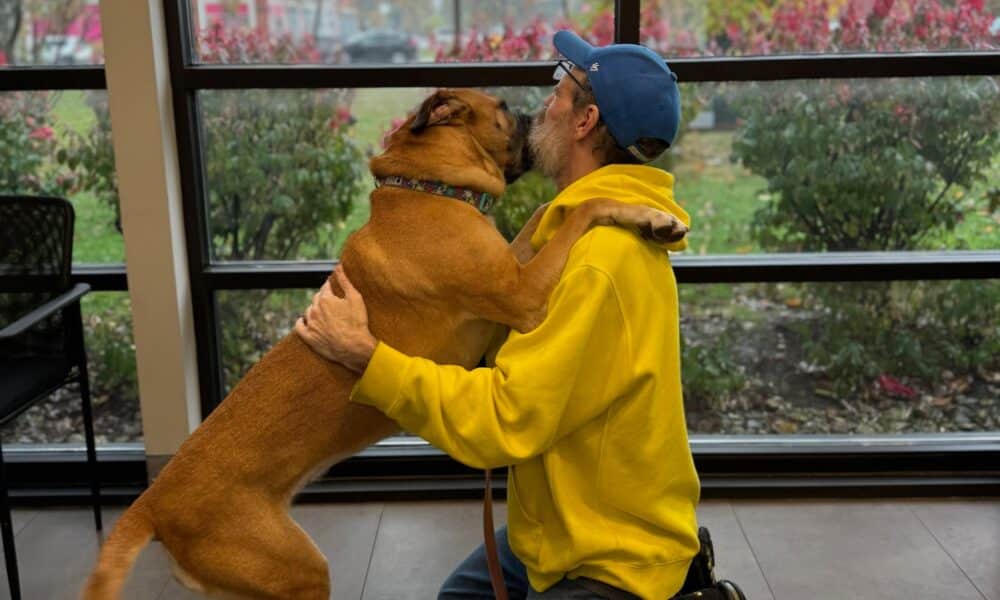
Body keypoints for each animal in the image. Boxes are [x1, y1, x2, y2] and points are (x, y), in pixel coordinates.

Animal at [84, 89, 688, 600]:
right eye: (502, 107)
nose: (533, 111)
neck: (427, 190)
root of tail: (154, 502)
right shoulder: (523, 295)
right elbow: (579, 208)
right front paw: (644, 214)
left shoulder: (514, 269)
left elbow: (547, 211)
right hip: (297, 571)